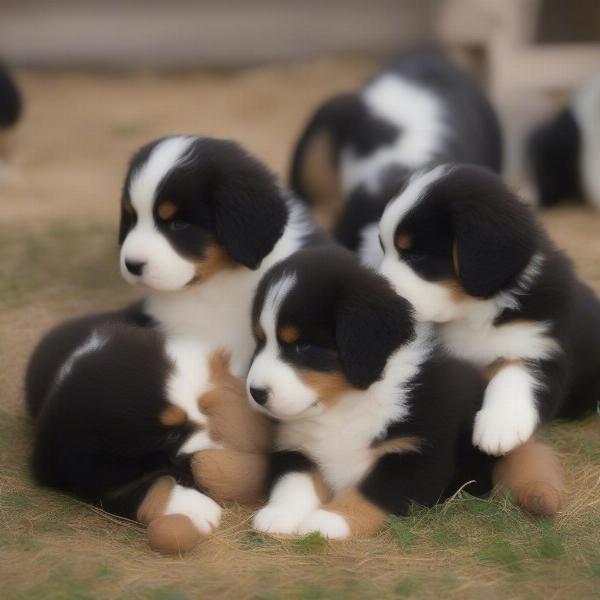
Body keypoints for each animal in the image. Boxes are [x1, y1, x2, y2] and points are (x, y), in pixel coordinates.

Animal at [245, 247, 564, 540]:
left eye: (303, 346)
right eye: (260, 341)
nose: (256, 393)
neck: (344, 405)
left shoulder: (415, 454)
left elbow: (374, 490)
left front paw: (331, 519)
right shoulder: (293, 446)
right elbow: (293, 480)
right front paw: (281, 514)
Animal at [378, 164, 600, 454]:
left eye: (417, 256)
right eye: (383, 248)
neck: (471, 312)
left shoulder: (540, 344)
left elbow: (514, 374)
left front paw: (500, 426)